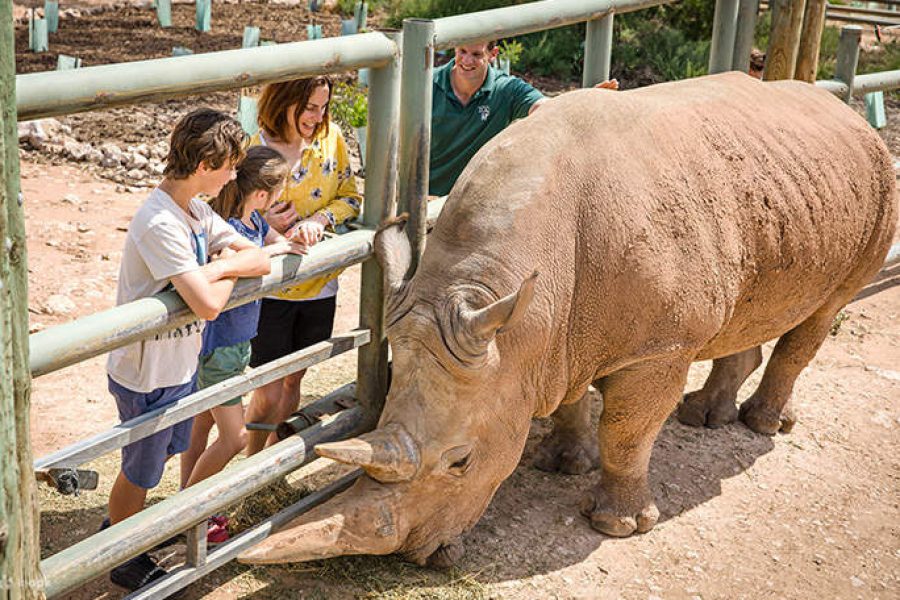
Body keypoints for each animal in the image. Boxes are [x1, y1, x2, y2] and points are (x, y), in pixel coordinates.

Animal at [239, 72, 897, 566]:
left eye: (461, 463)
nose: (415, 559)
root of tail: (844, 109)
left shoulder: (659, 344)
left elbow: (627, 430)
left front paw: (619, 524)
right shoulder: (549, 330)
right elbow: (570, 397)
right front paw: (562, 463)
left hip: (876, 182)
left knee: (824, 311)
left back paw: (760, 427)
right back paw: (705, 417)